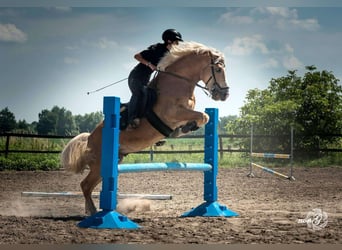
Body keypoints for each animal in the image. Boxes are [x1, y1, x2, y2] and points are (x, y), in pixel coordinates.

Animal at [61, 41, 230, 215]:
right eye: (218, 69)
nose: (224, 95)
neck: (178, 83)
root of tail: (89, 137)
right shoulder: (173, 113)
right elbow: (203, 116)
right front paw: (185, 128)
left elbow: (203, 117)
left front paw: (185, 129)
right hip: (99, 164)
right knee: (85, 185)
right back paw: (95, 213)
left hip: (113, 161)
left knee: (88, 185)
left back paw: (92, 211)